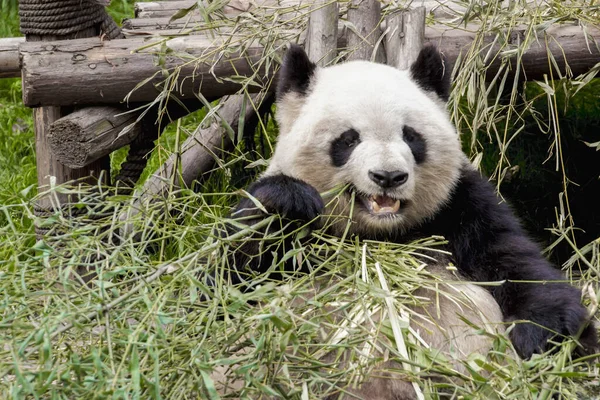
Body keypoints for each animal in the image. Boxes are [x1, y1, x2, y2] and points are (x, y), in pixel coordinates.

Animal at [224, 44, 596, 396]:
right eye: (349, 139)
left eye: (411, 136)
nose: (388, 176)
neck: (380, 234)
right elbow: (226, 287)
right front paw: (289, 200)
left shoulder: (462, 207)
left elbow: (520, 268)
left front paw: (541, 340)